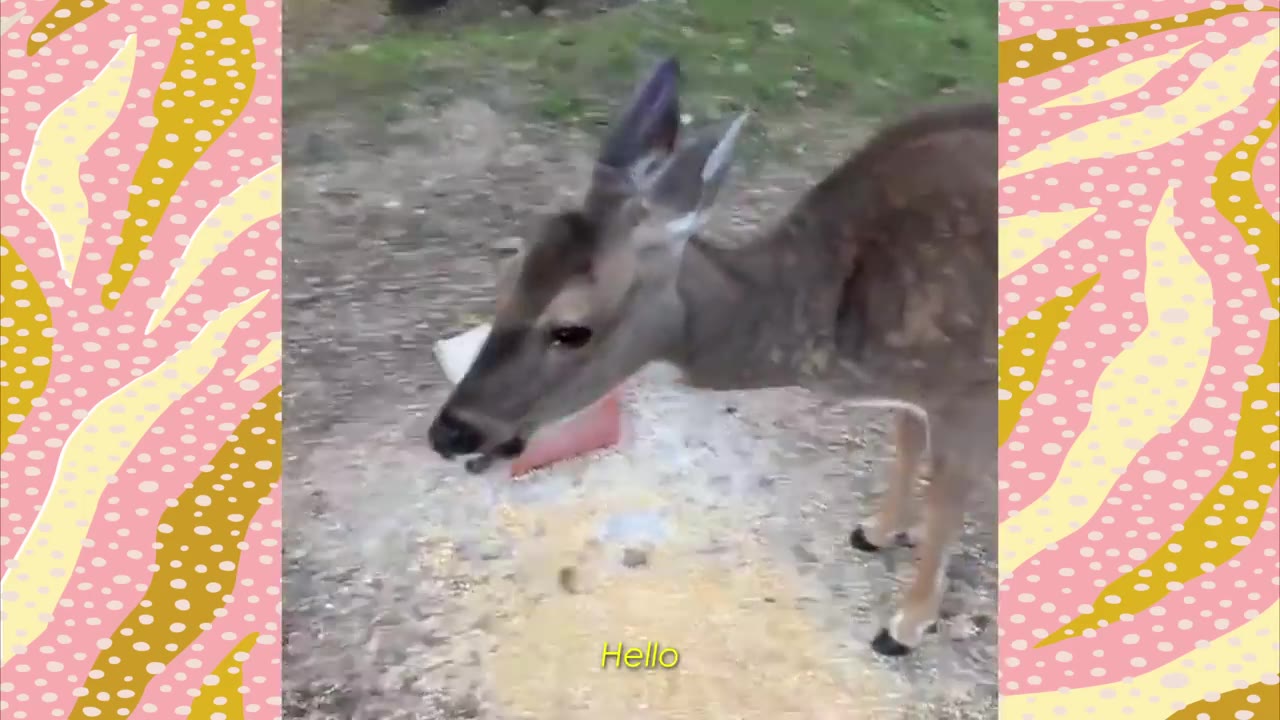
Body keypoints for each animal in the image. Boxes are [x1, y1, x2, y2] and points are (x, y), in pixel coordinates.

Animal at [427, 58, 997, 656]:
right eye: (509, 282)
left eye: (572, 329)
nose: (449, 431)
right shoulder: (919, 390)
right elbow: (906, 442)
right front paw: (877, 531)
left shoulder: (971, 388)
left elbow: (946, 499)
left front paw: (904, 626)